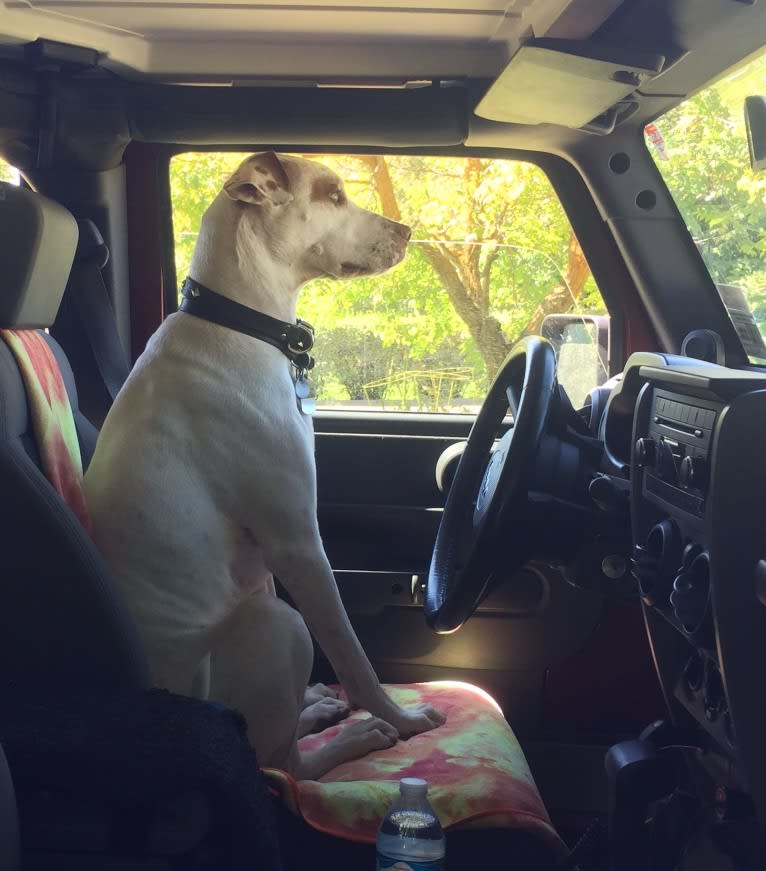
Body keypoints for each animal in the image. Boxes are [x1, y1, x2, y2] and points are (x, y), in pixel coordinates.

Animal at [83, 153, 444, 780]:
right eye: (332, 195)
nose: (407, 230)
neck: (236, 323)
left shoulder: (266, 560)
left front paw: (322, 701)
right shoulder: (298, 542)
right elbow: (352, 655)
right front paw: (399, 718)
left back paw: (315, 707)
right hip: (278, 625)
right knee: (282, 765)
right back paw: (351, 738)